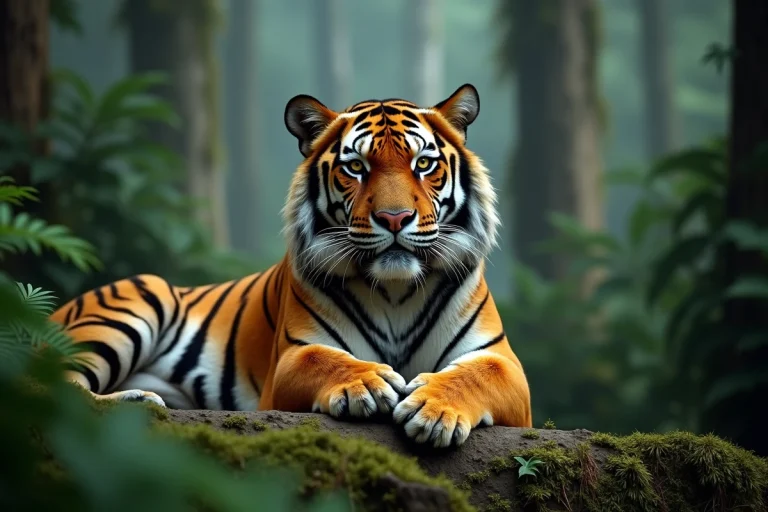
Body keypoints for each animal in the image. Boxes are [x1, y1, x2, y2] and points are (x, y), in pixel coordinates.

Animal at [50, 84, 532, 448]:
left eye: (424, 163)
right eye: (355, 168)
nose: (394, 218)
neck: (395, 289)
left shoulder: (502, 362)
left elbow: (475, 375)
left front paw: (434, 410)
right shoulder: (291, 358)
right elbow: (325, 360)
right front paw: (369, 384)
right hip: (133, 303)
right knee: (52, 382)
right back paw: (139, 403)